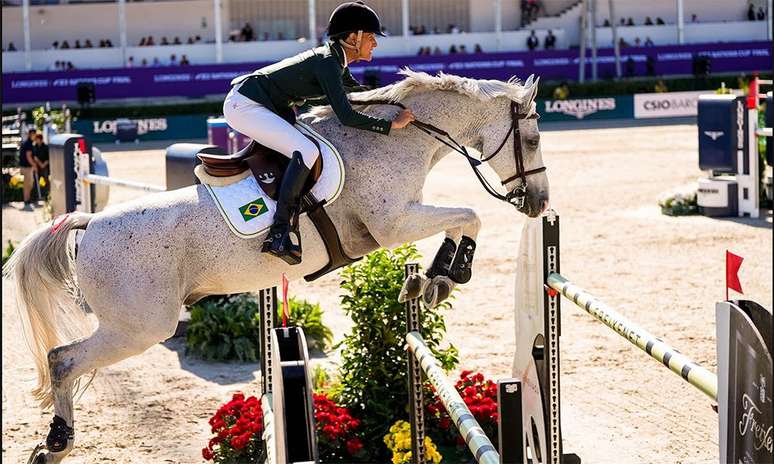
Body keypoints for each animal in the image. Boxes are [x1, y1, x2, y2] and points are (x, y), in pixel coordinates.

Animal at [3, 69, 548, 463]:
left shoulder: (402, 219)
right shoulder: (393, 223)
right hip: (139, 327)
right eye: (534, 140)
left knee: (63, 361)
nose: (539, 203)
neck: (393, 139)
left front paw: (433, 280)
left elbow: (461, 219)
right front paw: (448, 275)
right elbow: (470, 214)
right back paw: (57, 442)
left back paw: (52, 445)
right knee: (63, 359)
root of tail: (89, 223)